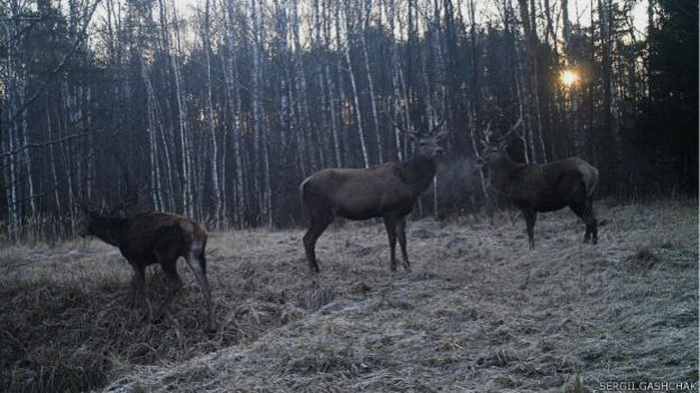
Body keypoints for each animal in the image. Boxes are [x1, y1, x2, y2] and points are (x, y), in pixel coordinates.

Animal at [78, 208, 215, 330]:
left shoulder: (134, 258)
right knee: (205, 285)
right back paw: (210, 325)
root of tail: (198, 230)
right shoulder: (142, 263)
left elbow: (142, 287)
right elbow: (133, 282)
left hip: (166, 254)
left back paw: (158, 316)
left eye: (83, 221)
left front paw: (146, 316)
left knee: (177, 282)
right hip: (194, 255)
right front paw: (128, 304)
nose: (80, 233)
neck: (118, 236)